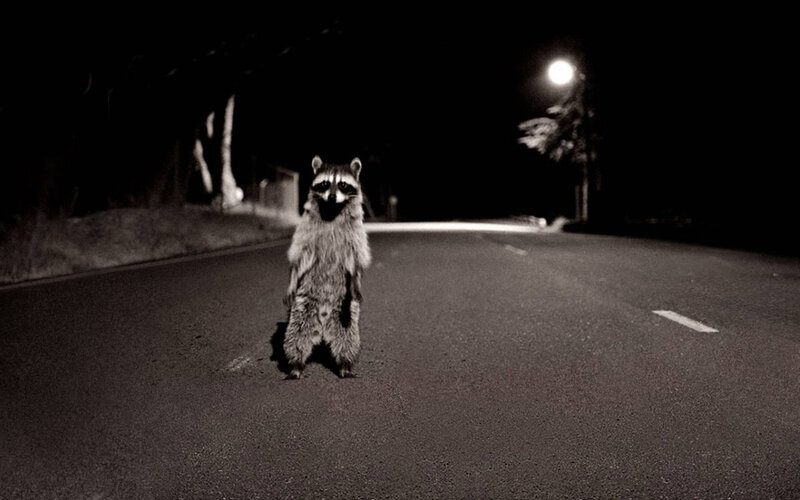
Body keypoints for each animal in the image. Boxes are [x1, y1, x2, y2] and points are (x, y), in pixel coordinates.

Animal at [283, 155, 371, 379]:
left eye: (342, 184)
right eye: (324, 183)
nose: (331, 196)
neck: (332, 210)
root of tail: (323, 318)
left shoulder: (356, 232)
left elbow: (357, 256)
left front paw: (357, 278)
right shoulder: (306, 227)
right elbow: (299, 253)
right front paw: (292, 277)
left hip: (345, 309)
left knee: (348, 338)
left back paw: (345, 364)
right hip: (304, 304)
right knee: (296, 335)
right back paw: (296, 364)